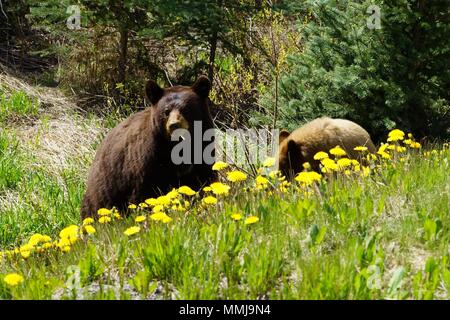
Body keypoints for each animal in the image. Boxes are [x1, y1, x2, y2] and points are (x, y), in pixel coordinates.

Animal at [81, 76, 217, 219]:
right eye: (166, 111)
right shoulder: (149, 157)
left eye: (186, 109)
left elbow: (204, 180)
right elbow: (143, 191)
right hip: (105, 186)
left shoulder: (202, 150)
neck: (178, 147)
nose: (174, 125)